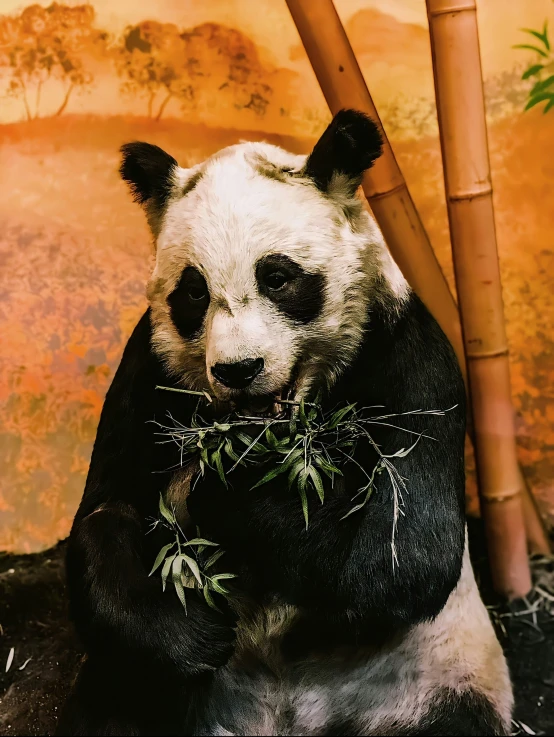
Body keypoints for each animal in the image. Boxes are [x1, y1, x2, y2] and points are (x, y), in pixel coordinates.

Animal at [55, 110, 508, 736]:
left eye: (276, 277)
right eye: (193, 290)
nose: (239, 369)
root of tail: (283, 716)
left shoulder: (407, 357)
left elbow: (403, 548)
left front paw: (217, 486)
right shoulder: (150, 371)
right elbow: (107, 508)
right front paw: (196, 630)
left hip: (428, 675)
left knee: (451, 717)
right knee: (120, 699)